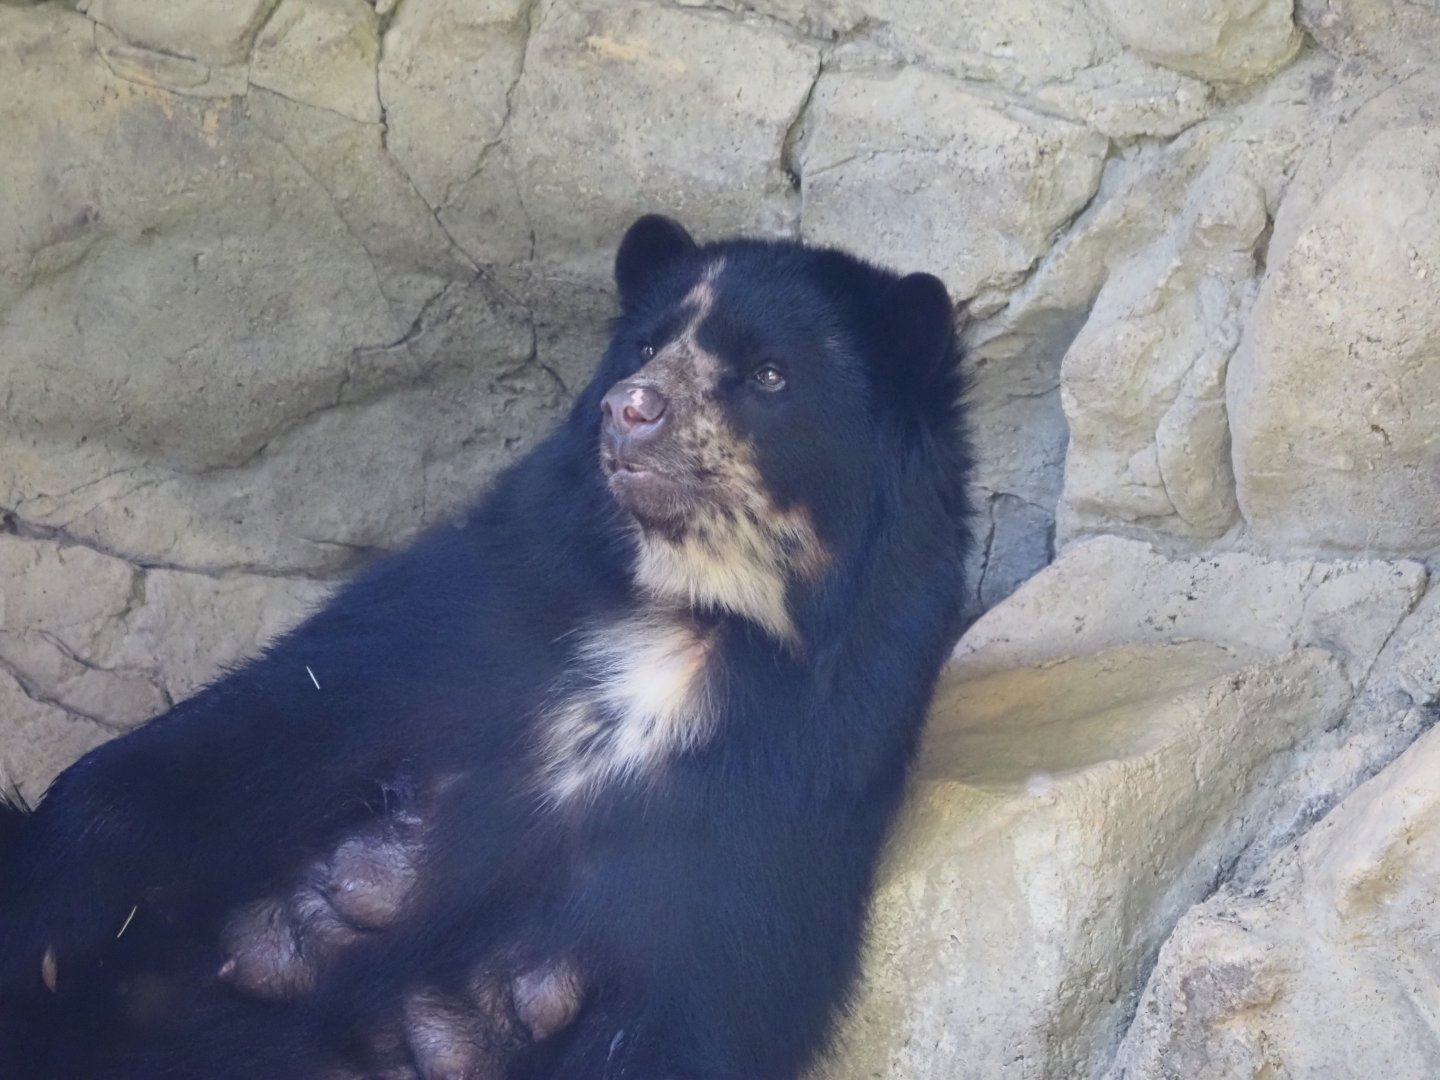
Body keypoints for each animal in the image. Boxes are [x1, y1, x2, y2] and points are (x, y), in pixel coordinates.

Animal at [0, 214, 972, 1080]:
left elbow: (686, 1015)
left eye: (770, 374)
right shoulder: (474, 618)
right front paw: (50, 930)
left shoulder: (777, 812)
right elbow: (249, 732)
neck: (690, 614)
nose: (633, 408)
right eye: (643, 348)